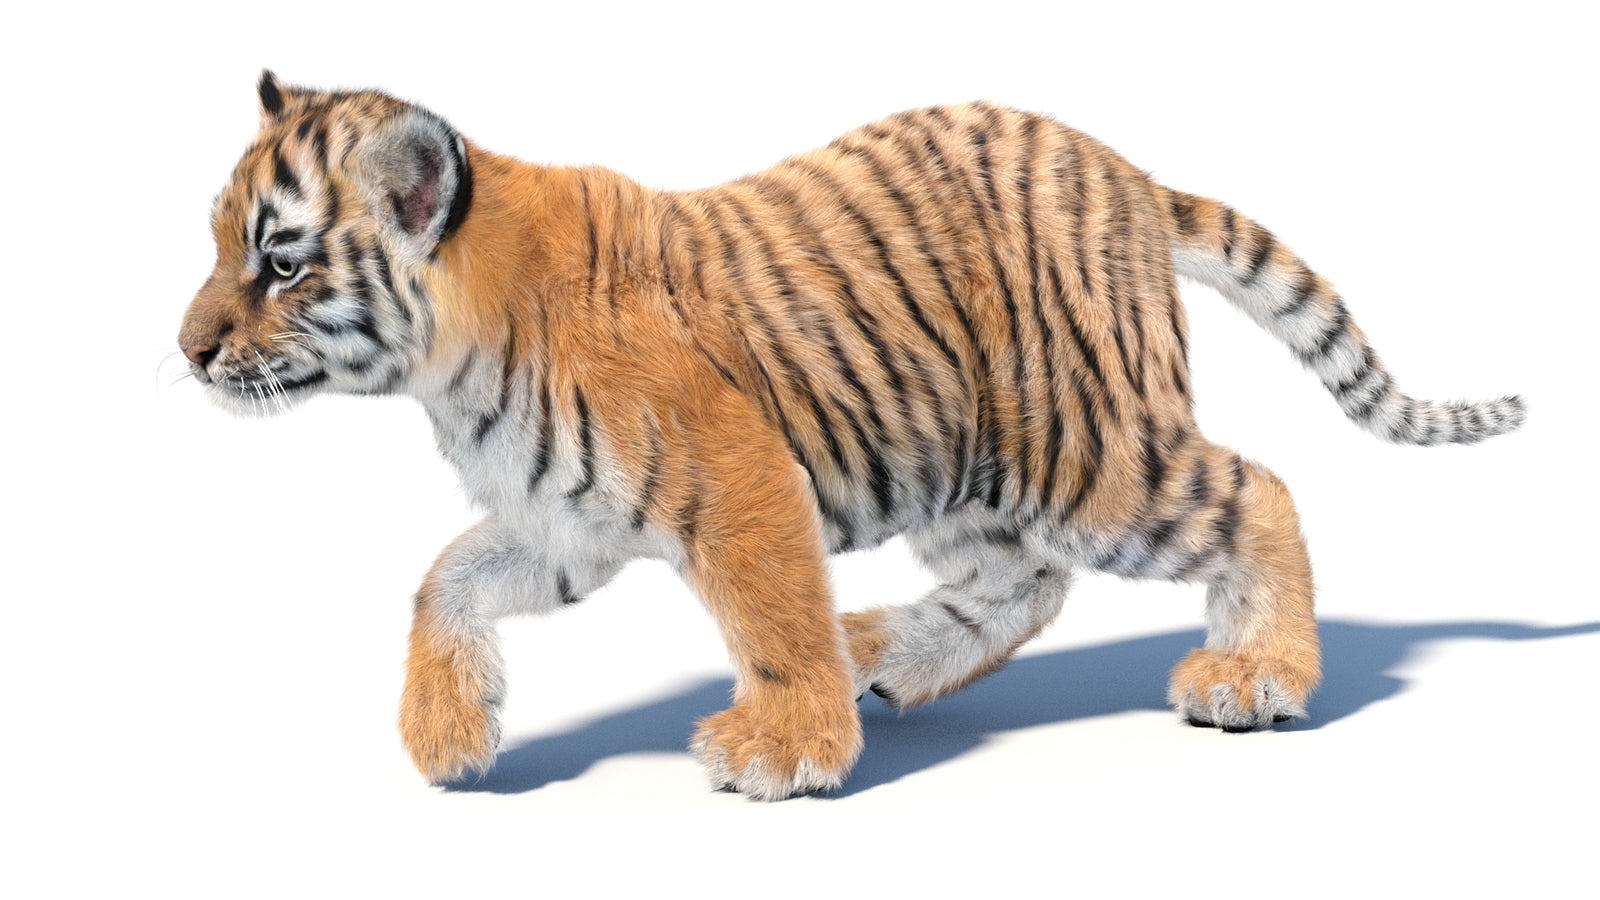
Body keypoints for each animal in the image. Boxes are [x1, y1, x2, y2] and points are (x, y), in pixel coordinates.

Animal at [177, 72, 1525, 801]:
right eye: (221, 242)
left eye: (280, 261)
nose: (186, 350)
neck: (449, 363)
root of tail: (1124, 172)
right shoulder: (566, 522)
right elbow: (442, 579)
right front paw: (448, 735)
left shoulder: (734, 475)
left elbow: (771, 617)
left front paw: (786, 750)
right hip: (972, 469)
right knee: (1025, 585)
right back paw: (885, 651)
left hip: (1089, 455)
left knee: (1259, 491)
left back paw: (1256, 676)